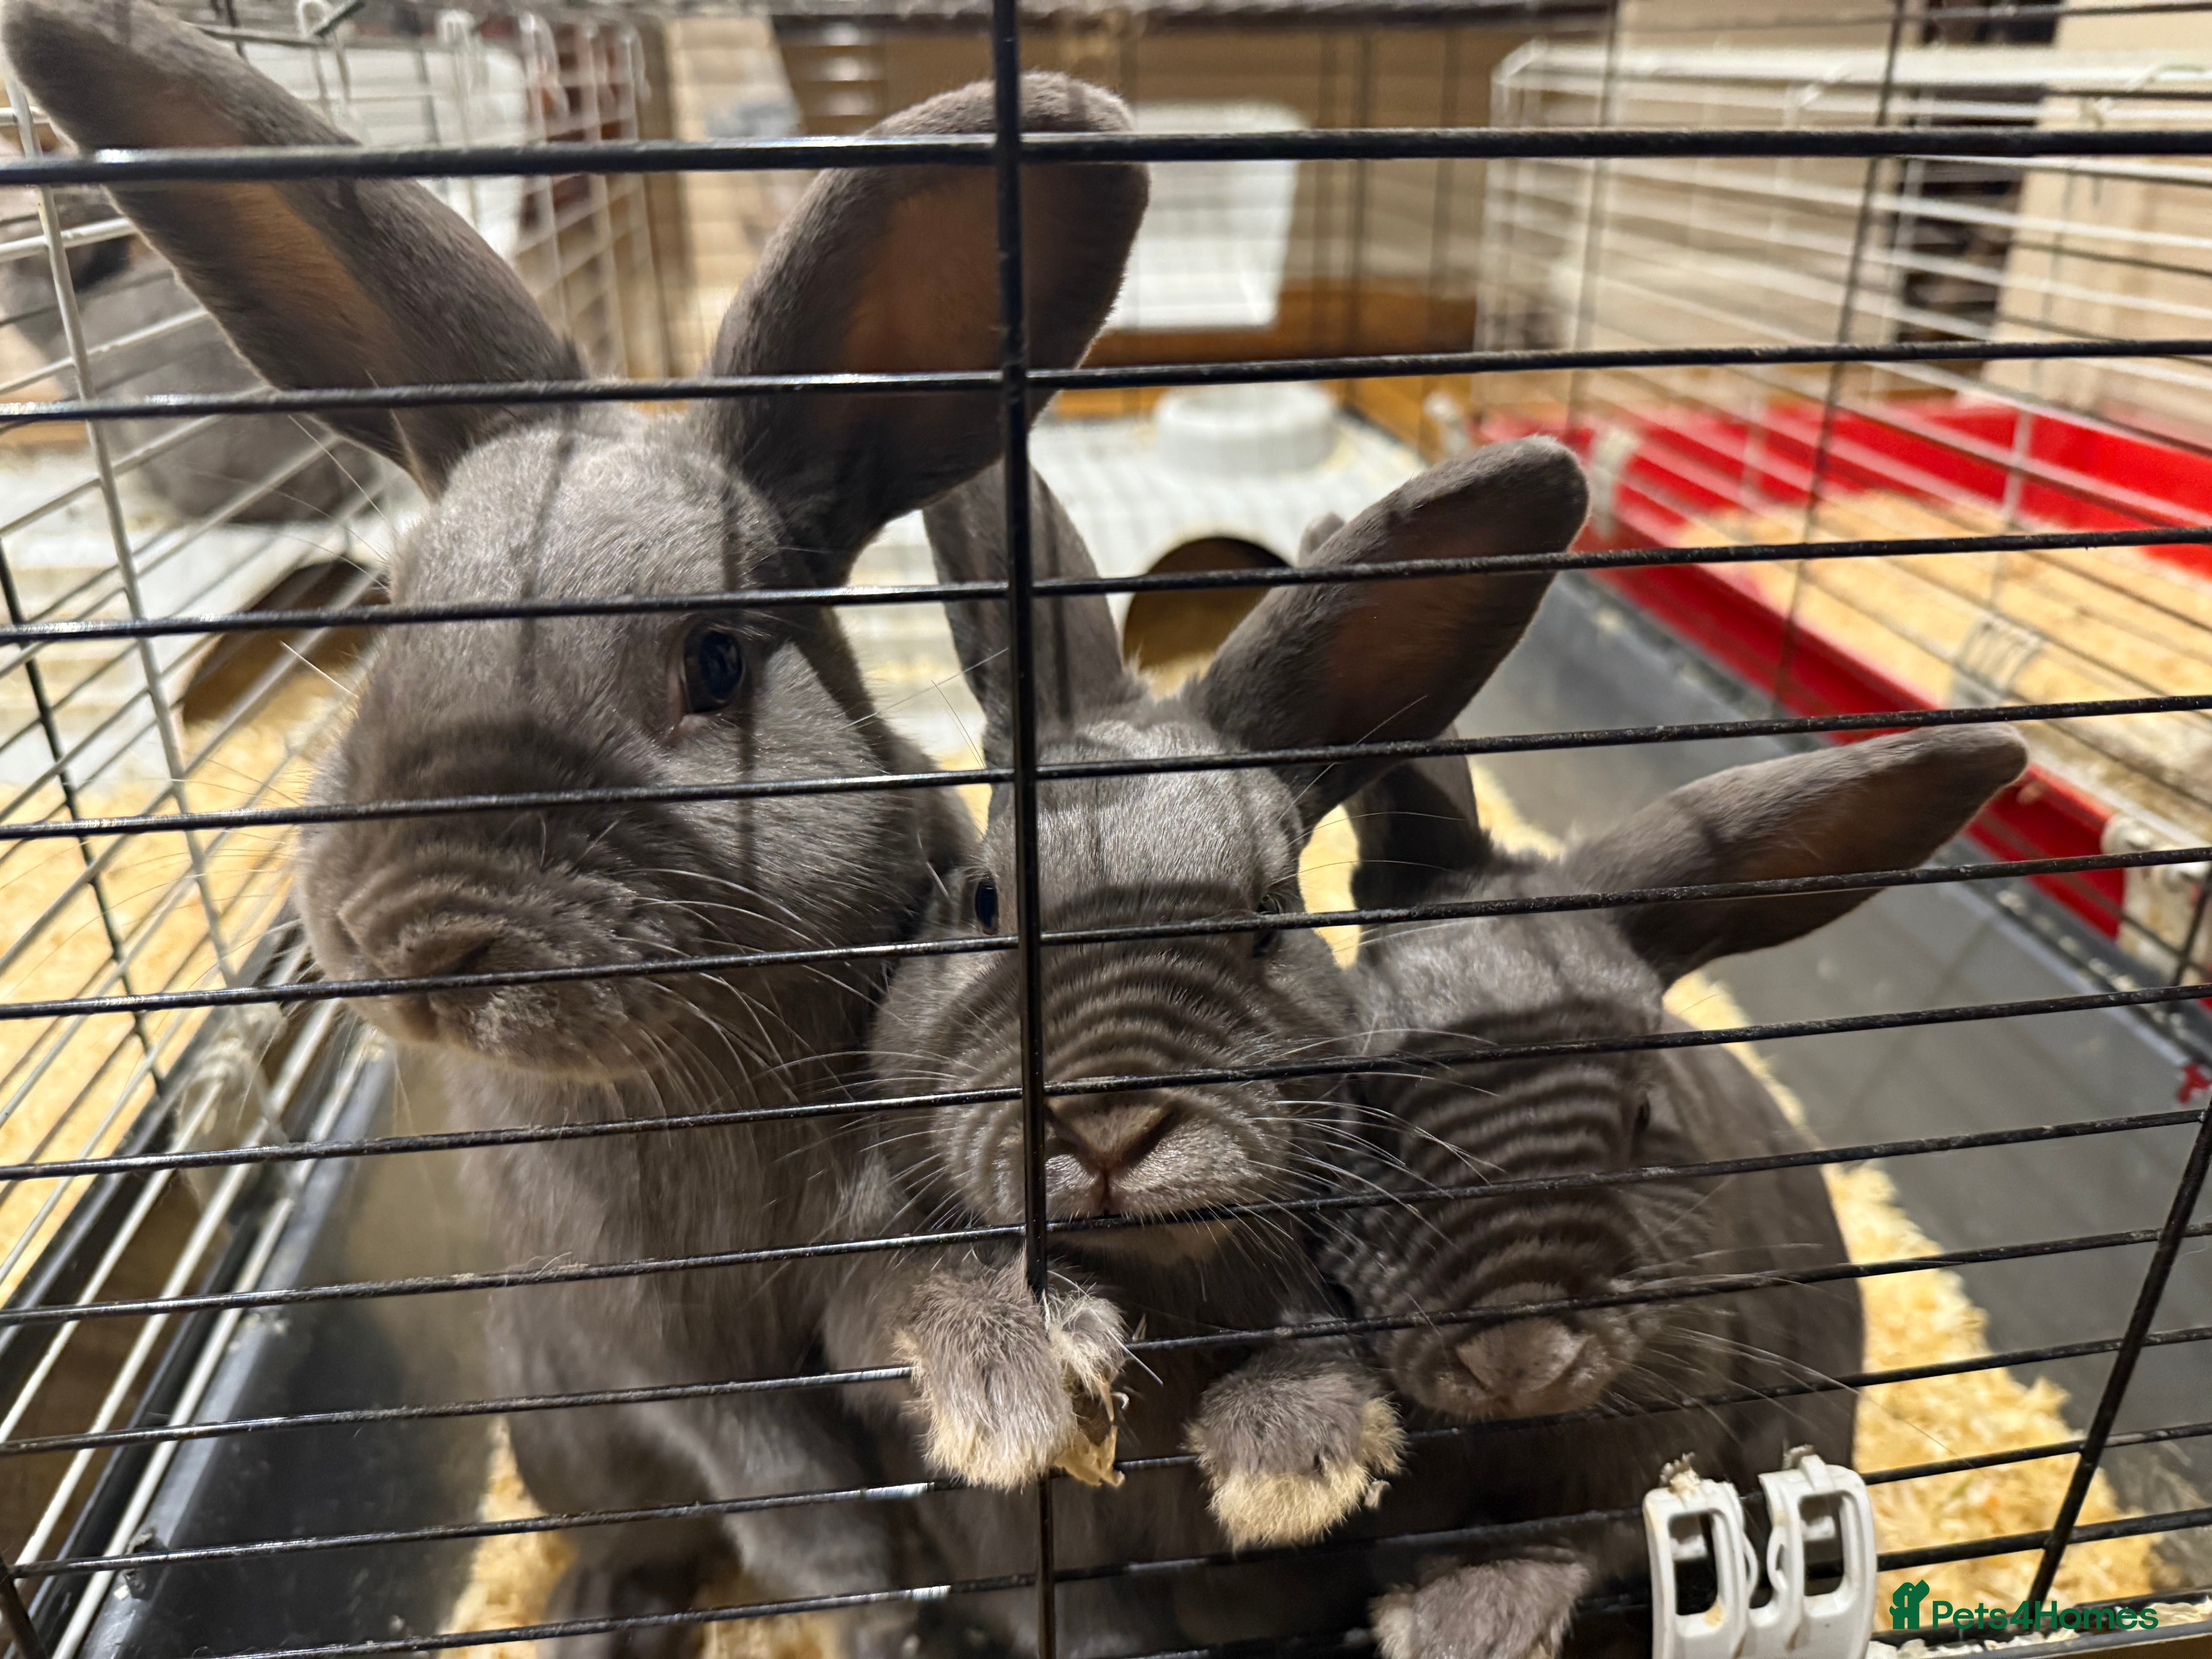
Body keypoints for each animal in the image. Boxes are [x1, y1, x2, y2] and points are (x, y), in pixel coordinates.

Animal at [822, 438, 1592, 1659]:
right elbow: (917, 1298)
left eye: (1270, 916)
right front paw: (1018, 1380)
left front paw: (1290, 1458)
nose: (1108, 1129)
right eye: (985, 900)